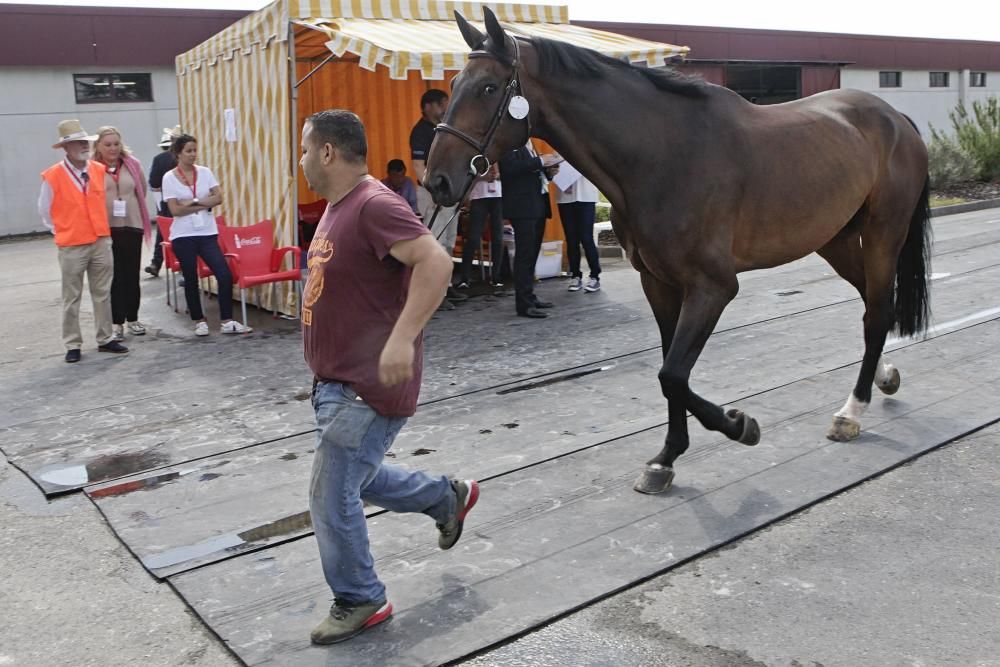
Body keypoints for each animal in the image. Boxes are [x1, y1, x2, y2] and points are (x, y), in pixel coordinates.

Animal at [426, 7, 932, 494]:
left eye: (489, 87)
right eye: (453, 85)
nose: (437, 181)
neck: (663, 155)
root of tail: (894, 117)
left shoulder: (713, 288)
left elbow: (671, 375)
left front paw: (739, 425)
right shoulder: (659, 283)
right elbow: (672, 372)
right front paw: (666, 458)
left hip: (884, 234)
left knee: (876, 314)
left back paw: (852, 411)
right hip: (836, 240)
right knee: (872, 305)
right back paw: (882, 376)